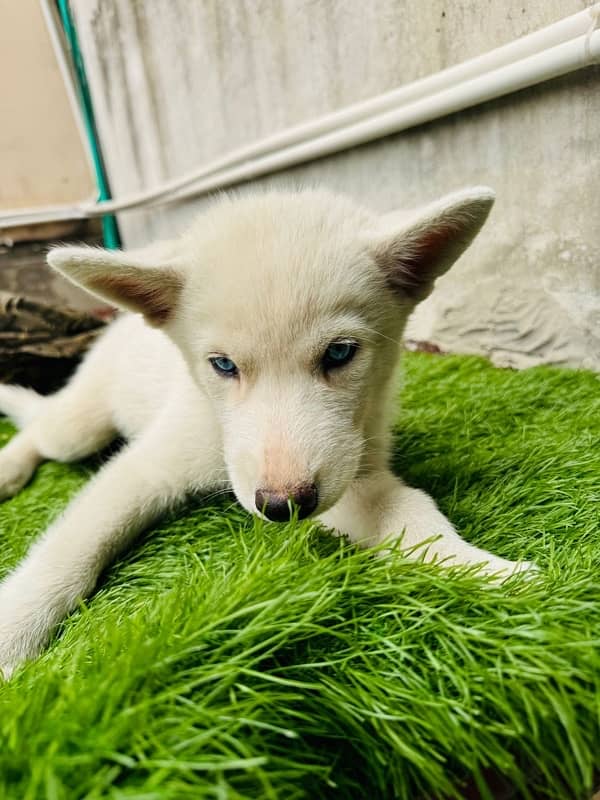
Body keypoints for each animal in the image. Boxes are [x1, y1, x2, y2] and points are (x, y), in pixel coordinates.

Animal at [0, 186, 532, 676]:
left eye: (340, 353)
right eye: (223, 365)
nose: (280, 506)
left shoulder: (347, 471)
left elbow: (406, 512)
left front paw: (486, 570)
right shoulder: (150, 466)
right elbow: (71, 548)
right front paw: (12, 632)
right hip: (79, 429)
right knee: (41, 425)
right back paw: (10, 462)